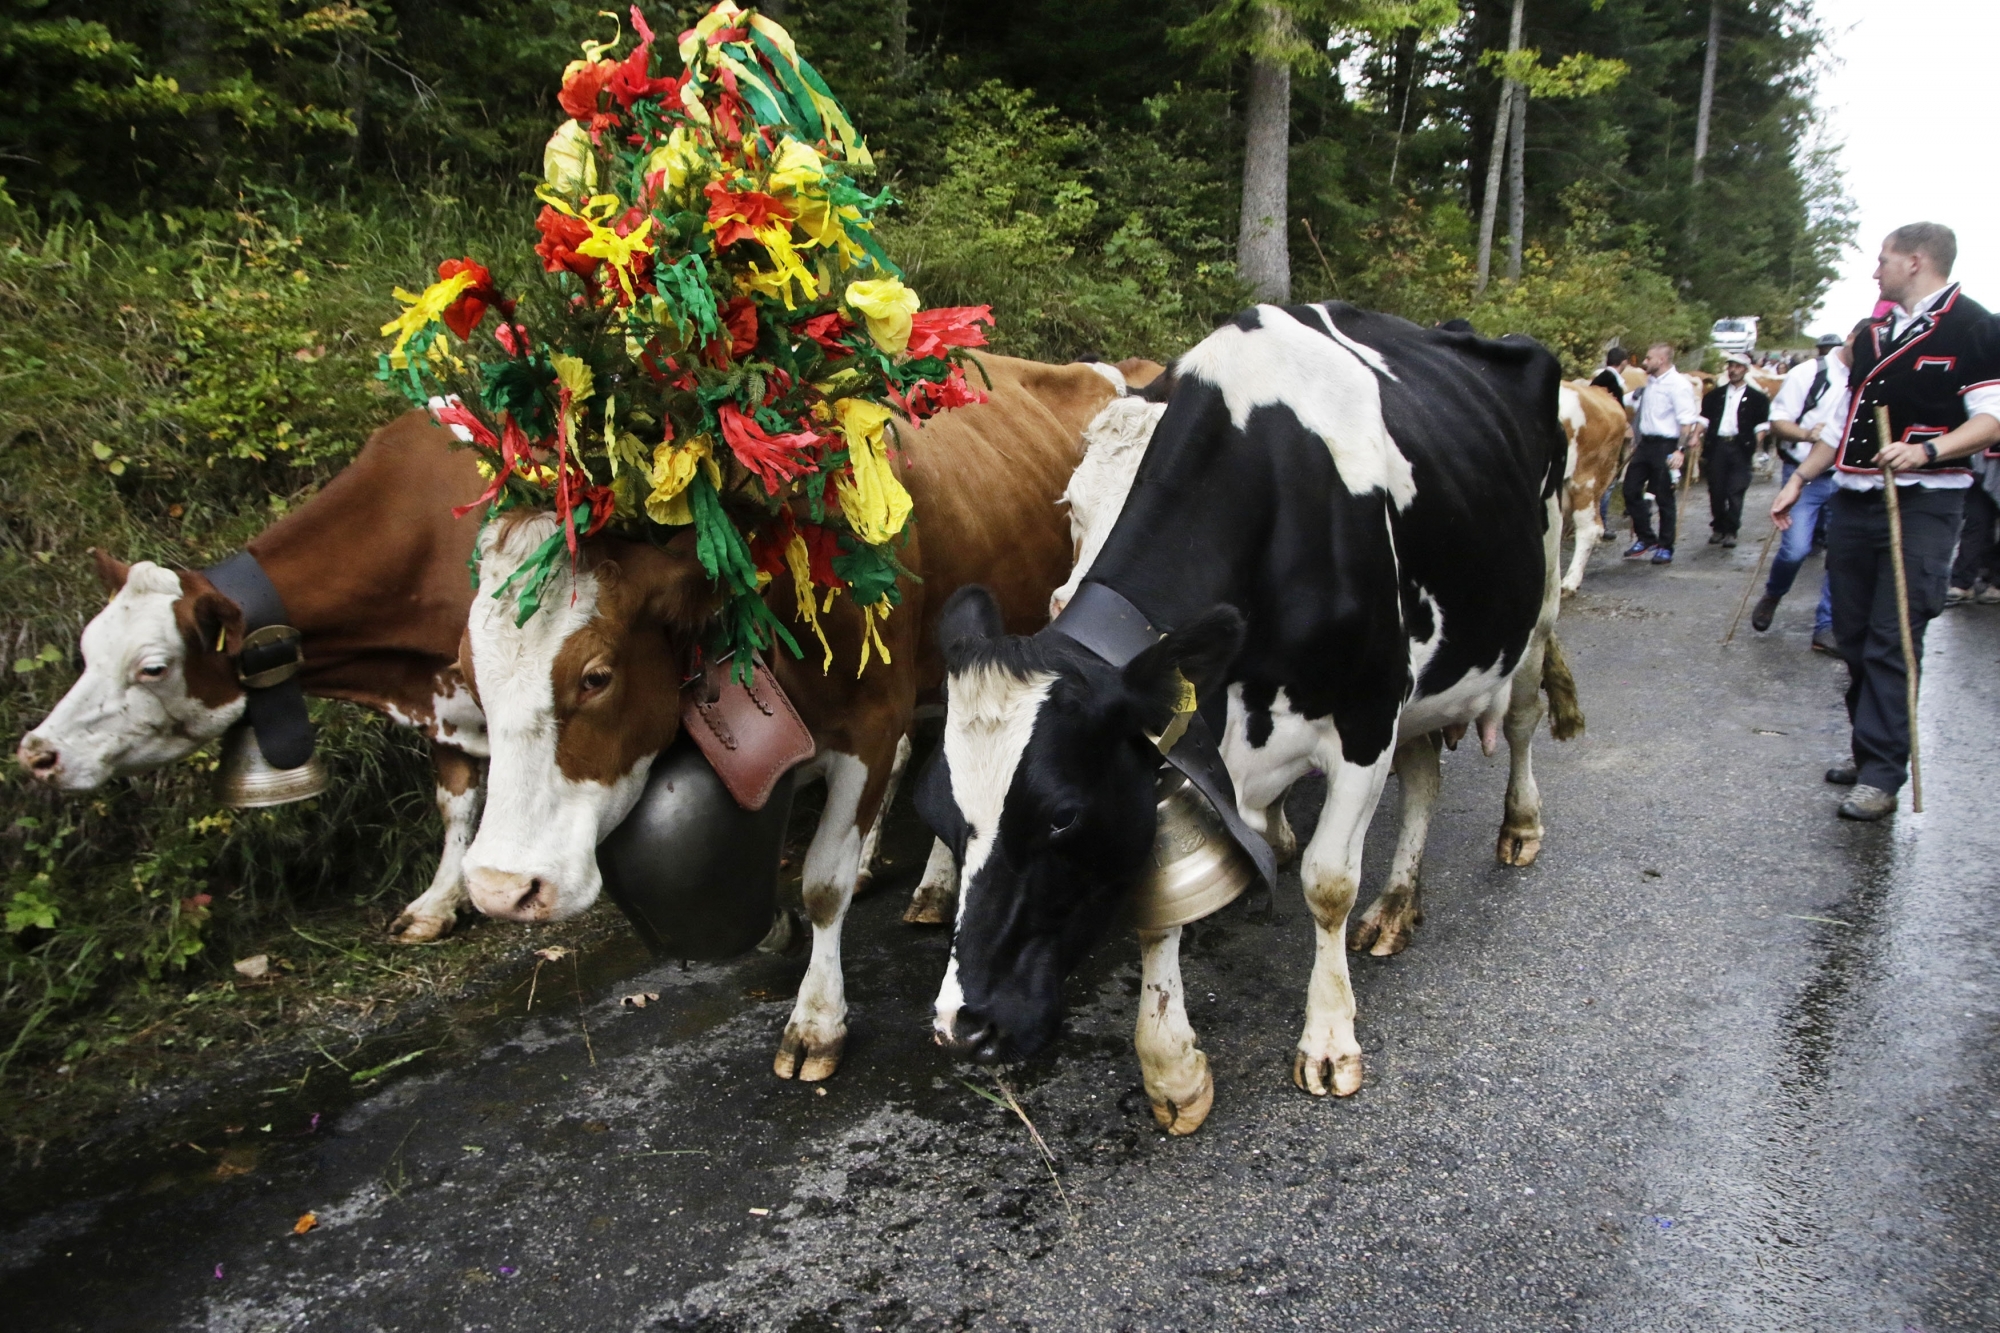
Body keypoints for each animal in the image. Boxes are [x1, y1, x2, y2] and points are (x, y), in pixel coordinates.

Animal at [17, 410, 490, 940]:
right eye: (87, 647)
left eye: (153, 668)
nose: (36, 754)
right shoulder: (439, 695)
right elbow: (455, 801)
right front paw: (438, 901)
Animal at [458, 352, 1160, 1080]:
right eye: (468, 673)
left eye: (596, 676)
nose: (498, 888)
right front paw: (783, 925)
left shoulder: (871, 723)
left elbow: (823, 881)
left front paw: (816, 1020)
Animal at [924, 300, 1576, 1128]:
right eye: (939, 815)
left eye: (1061, 815)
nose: (959, 1026)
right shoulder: (1182, 742)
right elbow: (1161, 899)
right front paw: (1171, 1066)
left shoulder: (1365, 718)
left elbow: (1329, 883)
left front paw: (1328, 1038)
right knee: (1425, 773)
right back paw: (1398, 903)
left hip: (1537, 603)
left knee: (1521, 720)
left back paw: (1519, 827)